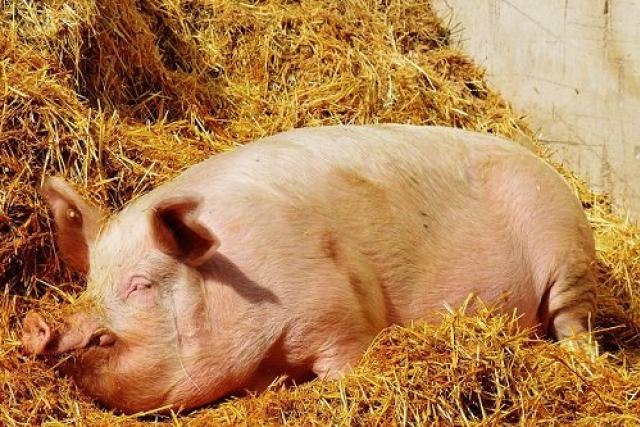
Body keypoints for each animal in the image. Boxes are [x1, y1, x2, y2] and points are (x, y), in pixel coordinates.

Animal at [22, 124, 596, 414]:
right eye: (91, 283)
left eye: (140, 286)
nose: (35, 324)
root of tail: (550, 169)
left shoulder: (341, 316)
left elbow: (347, 364)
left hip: (568, 256)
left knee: (574, 324)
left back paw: (581, 361)